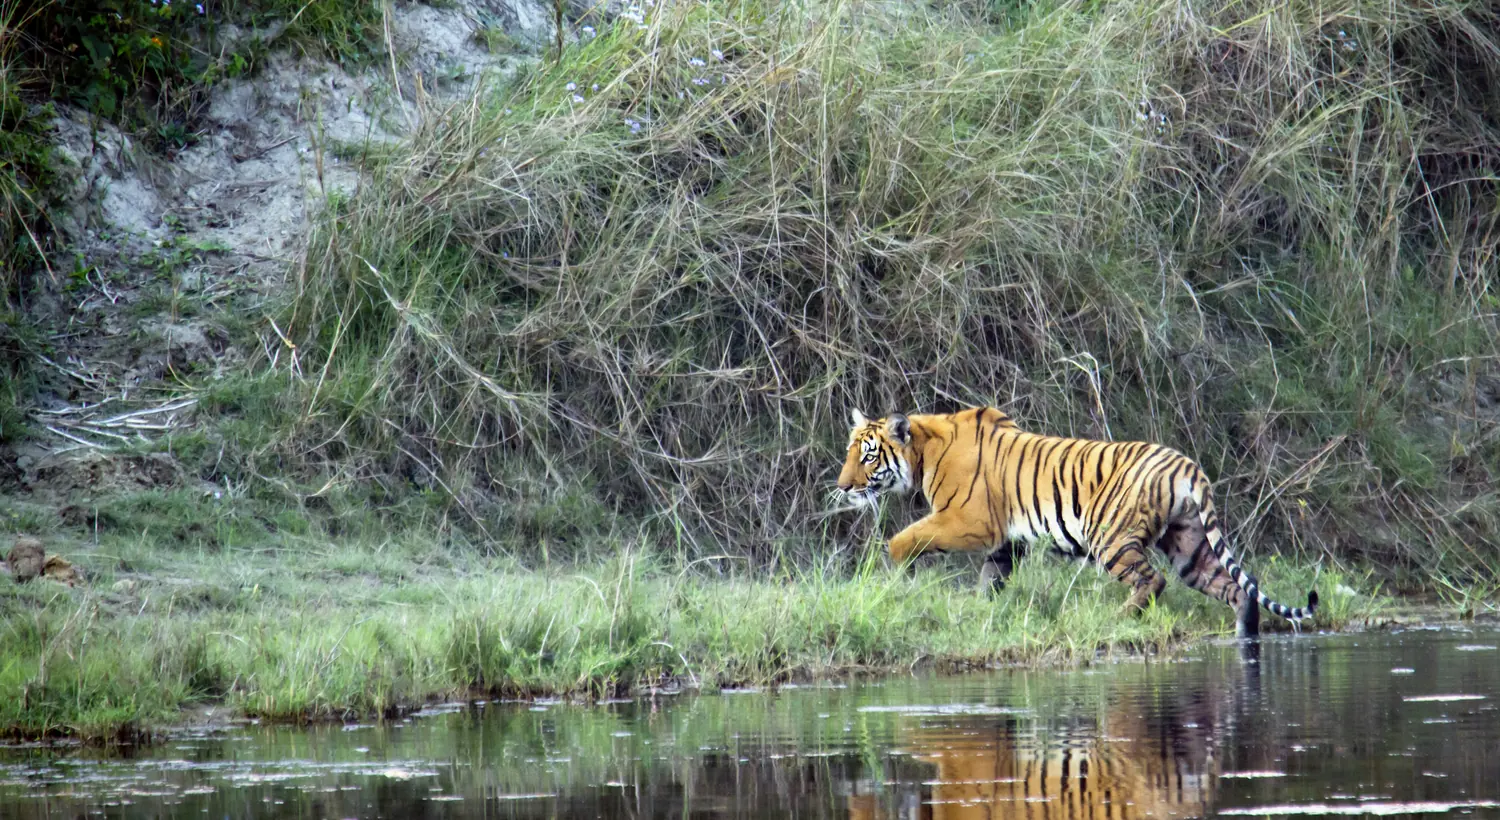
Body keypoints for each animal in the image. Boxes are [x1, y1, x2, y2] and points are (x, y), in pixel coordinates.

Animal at [835, 407, 1317, 637]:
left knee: (1153, 580)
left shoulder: (969, 521)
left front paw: (896, 570)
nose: (842, 486)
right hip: (1189, 544)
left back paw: (1118, 617)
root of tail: (1187, 466)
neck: (922, 453)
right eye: (849, 452)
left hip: (1110, 537)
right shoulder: (1005, 542)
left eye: (868, 456)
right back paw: (1244, 635)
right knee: (1236, 588)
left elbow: (906, 537)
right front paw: (981, 613)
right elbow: (991, 580)